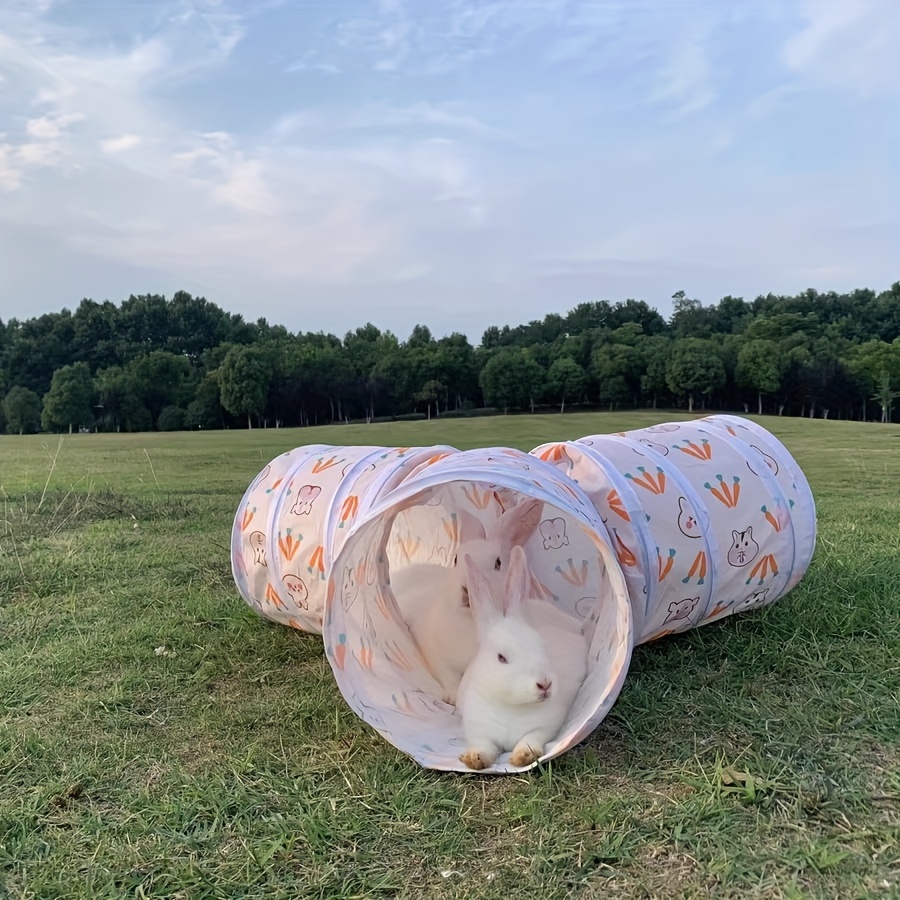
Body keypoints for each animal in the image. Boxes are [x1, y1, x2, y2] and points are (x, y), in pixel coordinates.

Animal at [388, 500, 540, 704]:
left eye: (498, 563)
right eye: (455, 559)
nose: (466, 589)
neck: (471, 619)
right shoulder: (434, 652)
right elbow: (448, 675)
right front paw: (452, 697)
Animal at [454, 544, 588, 768]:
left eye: (542, 646)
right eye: (501, 658)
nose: (545, 684)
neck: (513, 708)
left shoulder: (546, 726)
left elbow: (531, 739)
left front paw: (522, 756)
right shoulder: (477, 731)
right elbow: (484, 746)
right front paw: (474, 759)